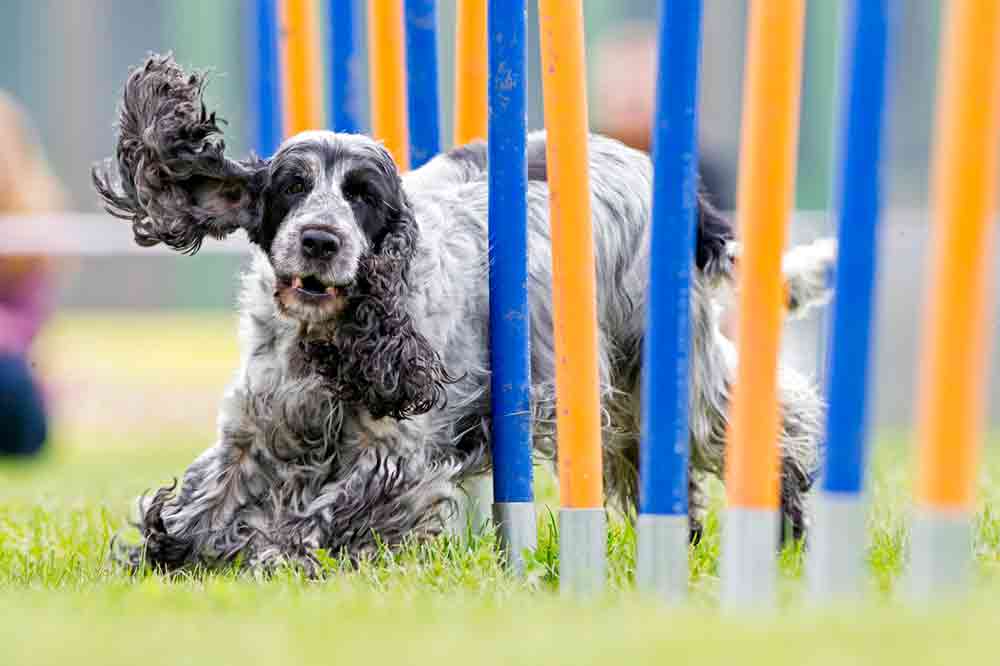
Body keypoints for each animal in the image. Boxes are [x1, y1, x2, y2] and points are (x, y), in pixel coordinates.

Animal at [94, 55, 836, 572]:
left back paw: (786, 524)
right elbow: (207, 495)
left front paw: (274, 552)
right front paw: (167, 551)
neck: (327, 340)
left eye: (363, 197)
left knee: (766, 422)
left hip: (665, 360)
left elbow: (324, 515)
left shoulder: (397, 453)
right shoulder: (257, 426)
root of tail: (670, 182)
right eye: (291, 187)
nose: (320, 240)